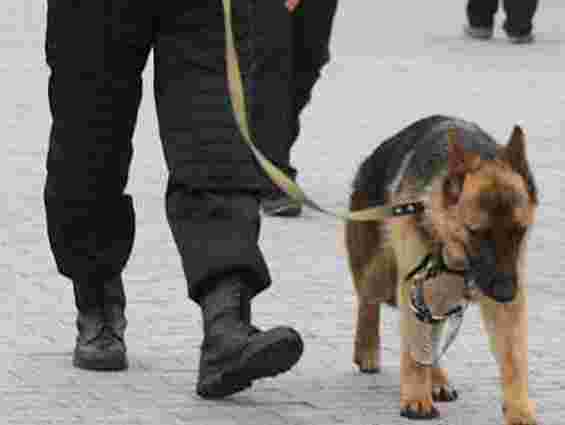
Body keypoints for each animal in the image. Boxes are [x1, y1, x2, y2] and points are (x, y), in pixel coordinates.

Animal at [344, 115, 536, 424]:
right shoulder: (413, 285)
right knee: (369, 302)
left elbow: (513, 357)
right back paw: (368, 350)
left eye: (518, 232)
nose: (507, 293)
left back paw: (436, 379)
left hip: (437, 294)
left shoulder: (506, 304)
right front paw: (415, 399)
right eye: (477, 233)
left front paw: (519, 409)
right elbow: (414, 352)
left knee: (431, 335)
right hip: (383, 275)